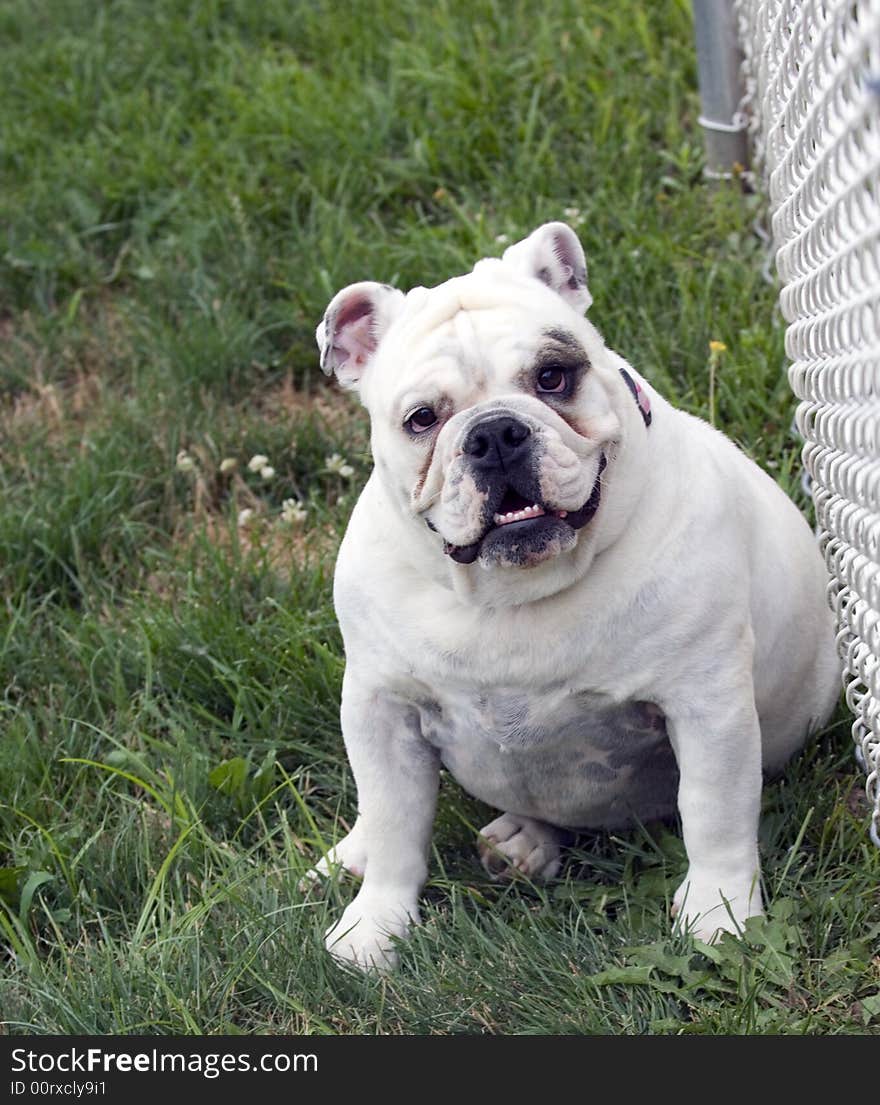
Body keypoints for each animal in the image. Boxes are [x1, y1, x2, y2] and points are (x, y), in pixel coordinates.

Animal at [309, 217, 840, 967]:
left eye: (553, 377)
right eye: (421, 419)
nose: (494, 432)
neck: (511, 593)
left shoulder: (708, 705)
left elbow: (715, 815)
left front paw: (720, 915)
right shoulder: (381, 707)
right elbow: (392, 821)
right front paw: (376, 924)